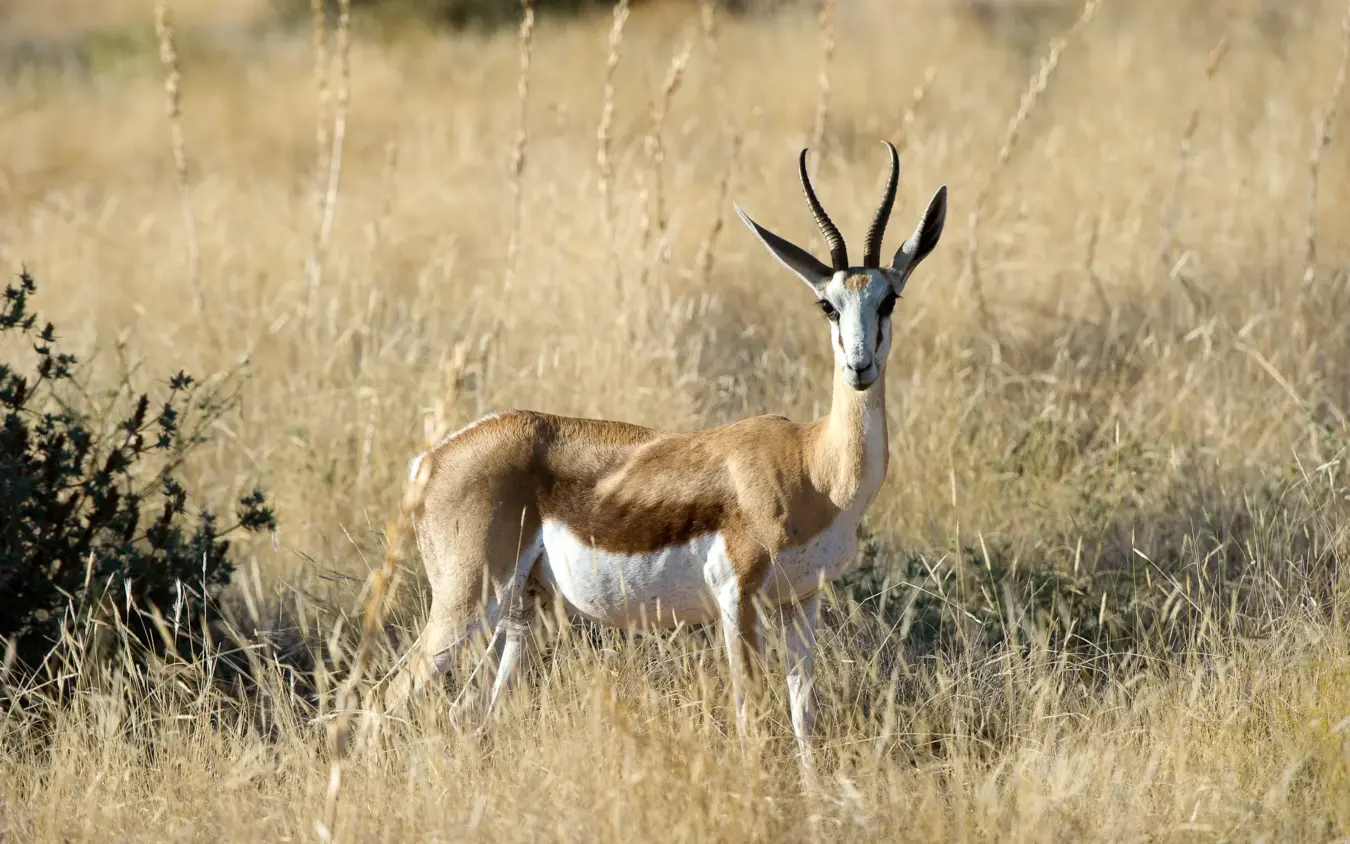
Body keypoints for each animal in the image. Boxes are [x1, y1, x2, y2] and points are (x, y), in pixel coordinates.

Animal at [383, 142, 947, 780]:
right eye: (827, 304)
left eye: (888, 298)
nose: (859, 367)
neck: (811, 465)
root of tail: (431, 459)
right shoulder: (737, 600)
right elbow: (752, 722)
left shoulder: (803, 602)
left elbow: (805, 720)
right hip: (467, 600)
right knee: (389, 697)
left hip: (526, 616)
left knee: (473, 713)